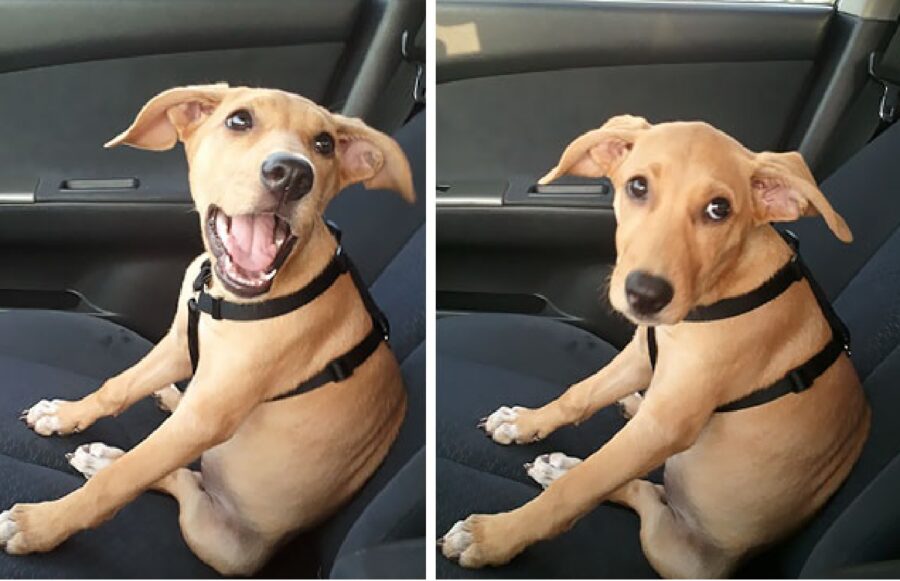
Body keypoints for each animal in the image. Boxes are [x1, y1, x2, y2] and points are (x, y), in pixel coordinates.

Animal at [0, 84, 414, 572]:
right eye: (239, 121)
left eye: (325, 144)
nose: (292, 175)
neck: (225, 297)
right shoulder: (180, 342)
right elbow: (117, 387)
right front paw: (65, 414)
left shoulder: (208, 417)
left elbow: (125, 478)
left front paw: (41, 525)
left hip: (218, 542)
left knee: (181, 482)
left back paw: (105, 458)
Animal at [440, 115, 868, 576]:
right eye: (637, 186)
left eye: (719, 209)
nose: (645, 295)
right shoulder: (643, 354)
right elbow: (579, 395)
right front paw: (525, 422)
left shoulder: (667, 425)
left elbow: (582, 487)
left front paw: (494, 537)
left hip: (672, 549)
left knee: (642, 495)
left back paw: (566, 467)